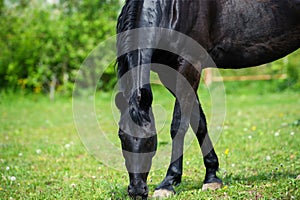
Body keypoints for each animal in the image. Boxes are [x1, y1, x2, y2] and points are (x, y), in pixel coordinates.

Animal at [114, 0, 298, 198]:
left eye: (150, 139)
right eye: (121, 136)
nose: (137, 190)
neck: (172, 8)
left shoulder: (189, 65)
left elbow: (179, 125)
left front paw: (168, 183)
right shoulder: (169, 73)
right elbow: (199, 123)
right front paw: (211, 177)